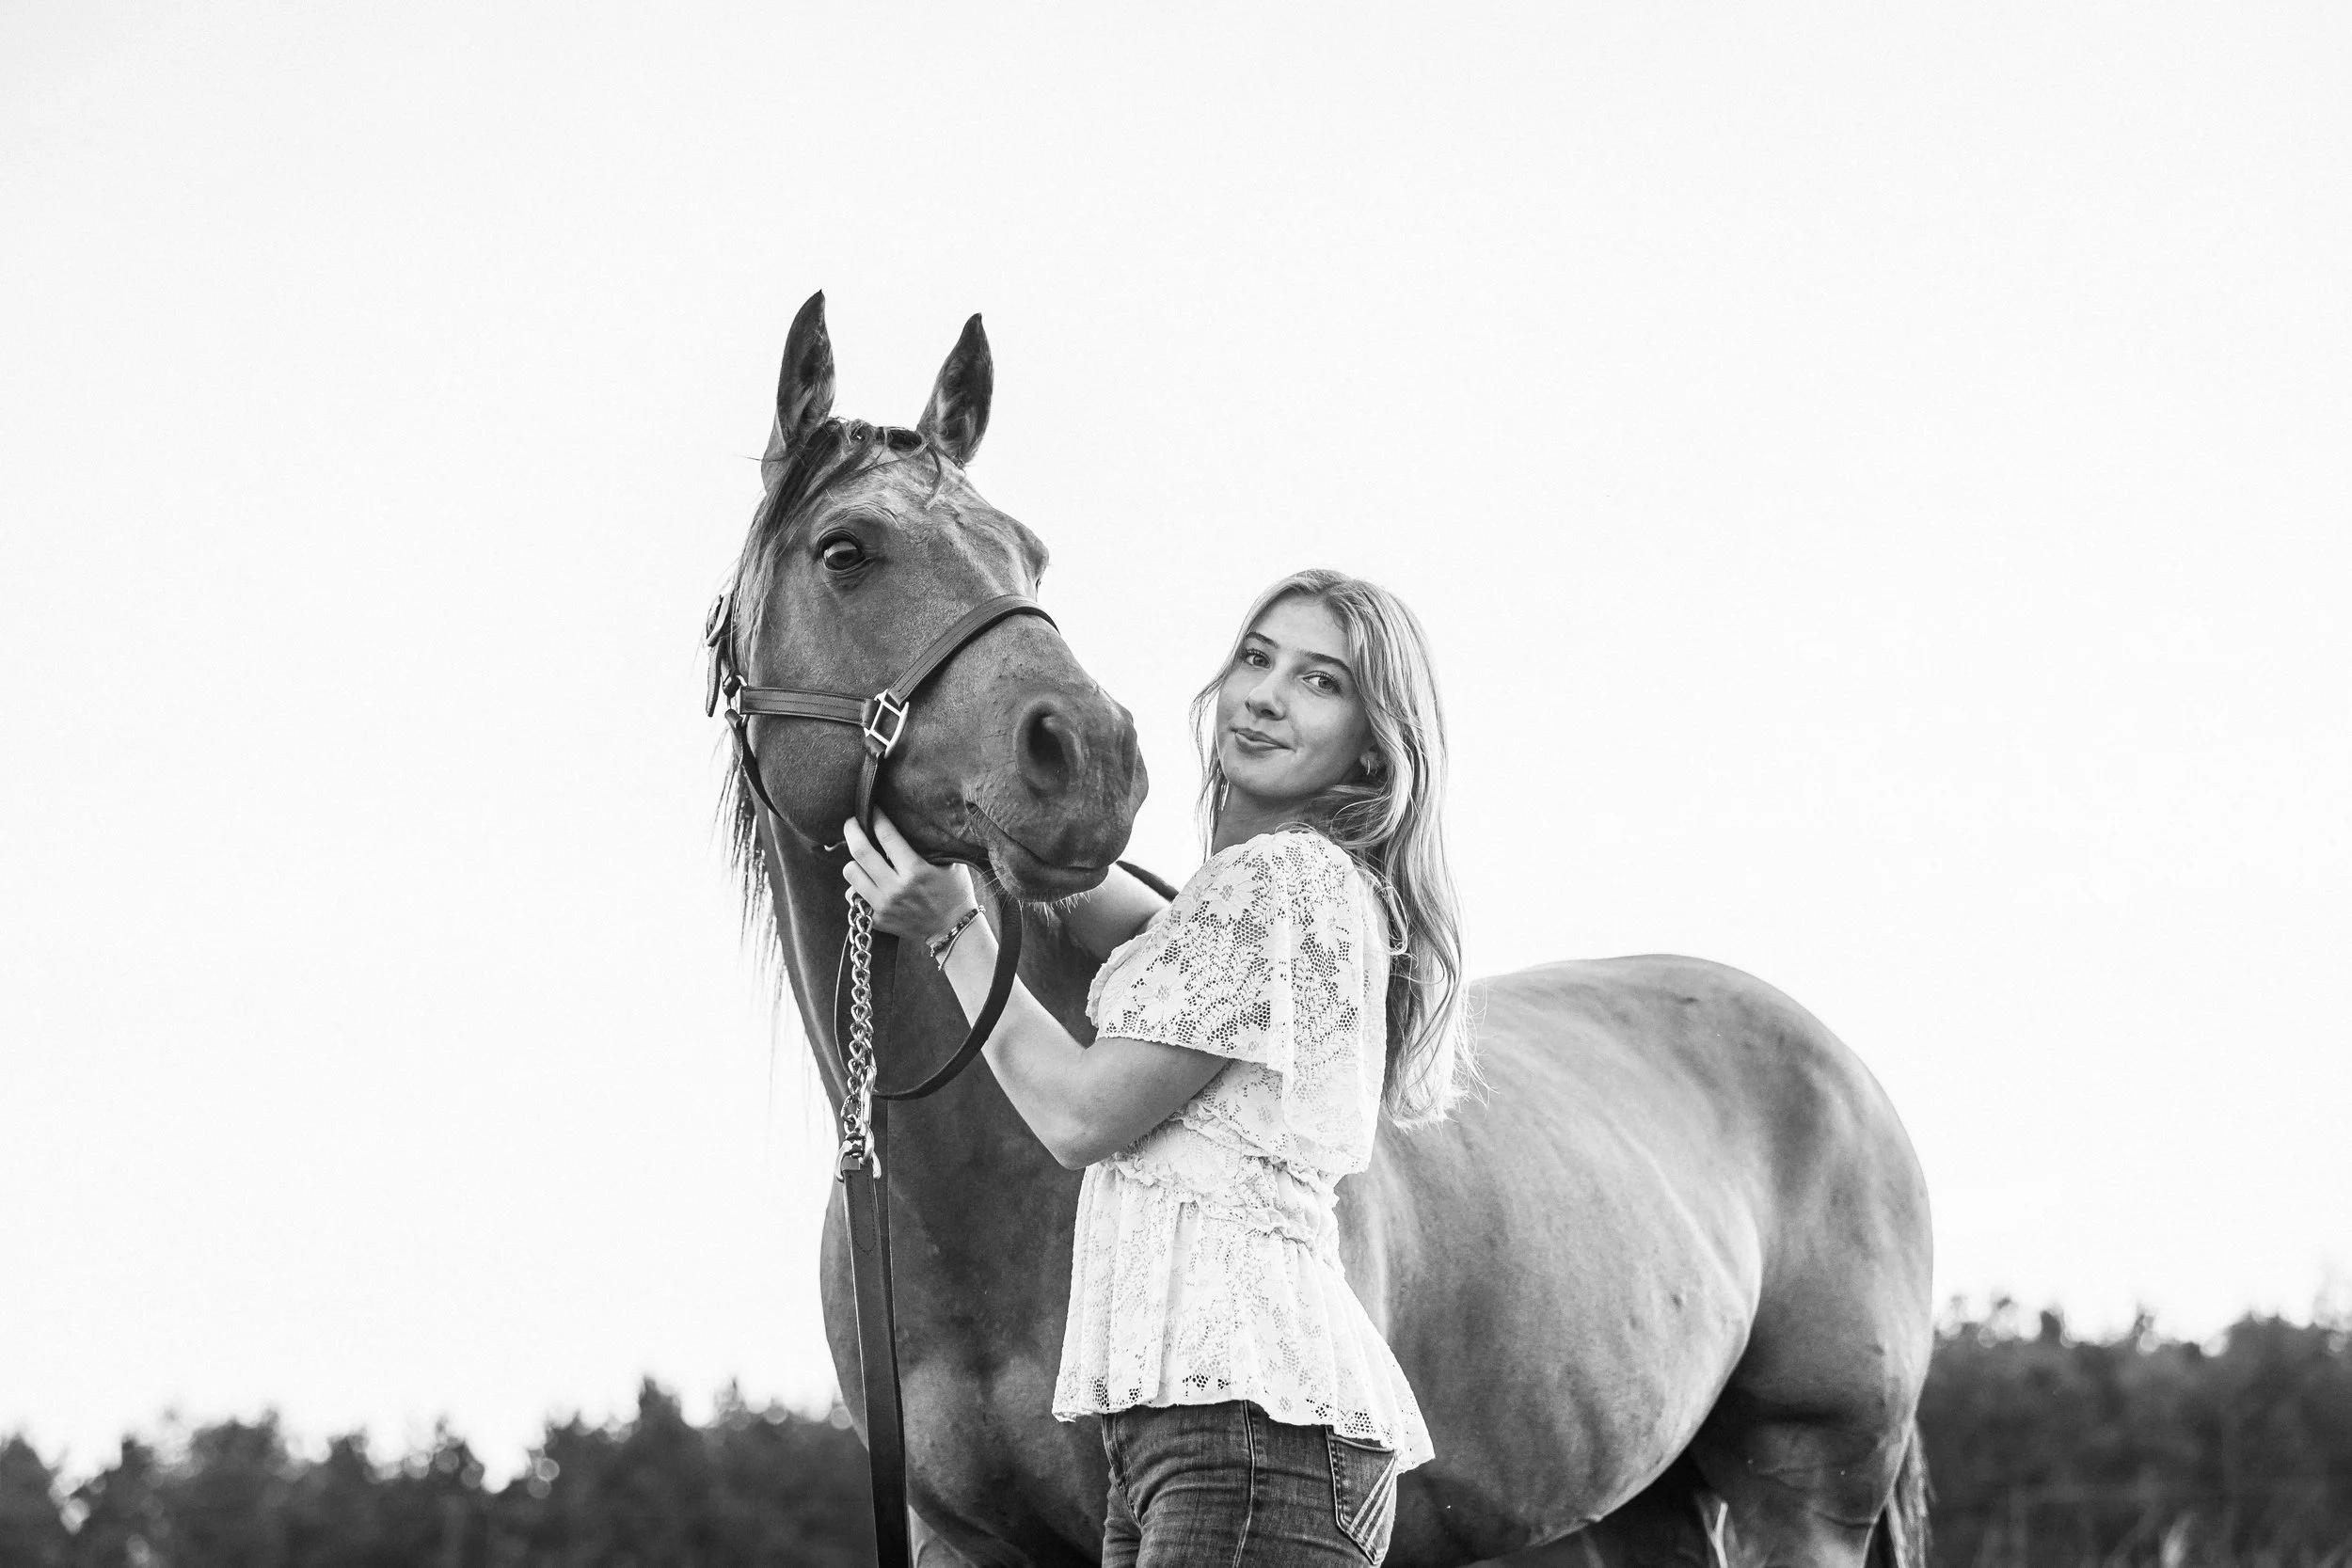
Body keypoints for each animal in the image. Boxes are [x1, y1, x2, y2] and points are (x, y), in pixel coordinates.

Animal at [715, 293, 1935, 1568]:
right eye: (844, 550)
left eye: (1027, 554)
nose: (1088, 757)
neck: (961, 1203)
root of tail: (1840, 1064)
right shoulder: (960, 1537)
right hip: (1636, 1500)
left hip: (1804, 1487)